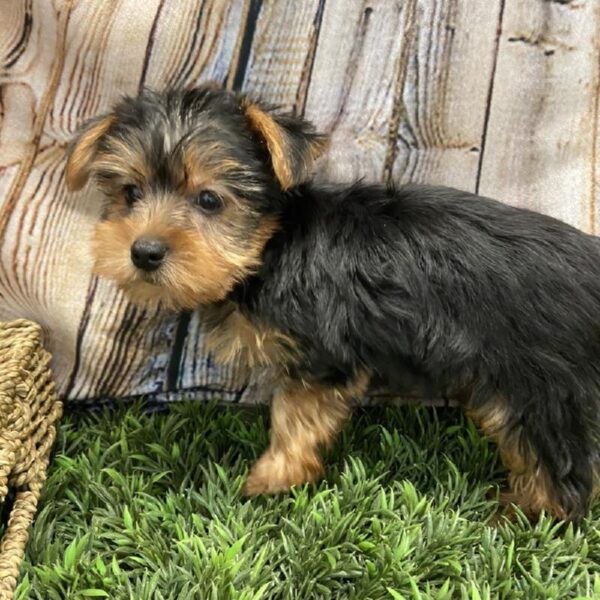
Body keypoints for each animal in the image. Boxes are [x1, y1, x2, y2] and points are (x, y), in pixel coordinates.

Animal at [65, 83, 600, 520]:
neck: (272, 248)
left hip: (538, 382)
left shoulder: (322, 357)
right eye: (130, 193)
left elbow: (292, 418)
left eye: (210, 200)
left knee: (559, 462)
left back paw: (526, 515)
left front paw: (271, 479)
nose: (144, 252)